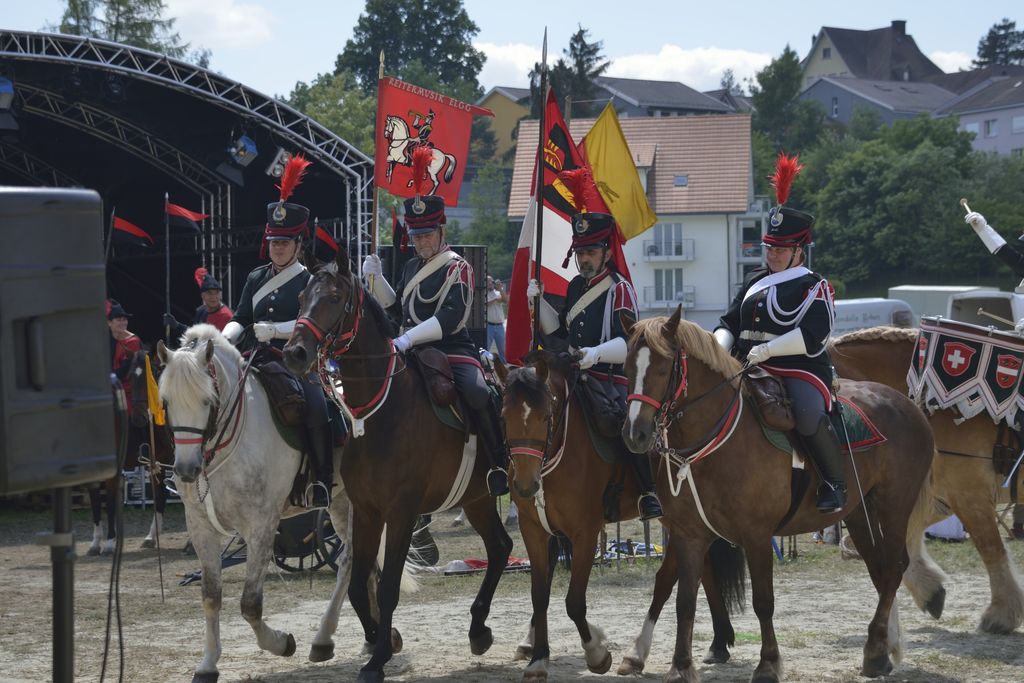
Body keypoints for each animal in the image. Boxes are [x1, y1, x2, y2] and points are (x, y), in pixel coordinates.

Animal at [155, 325, 356, 683]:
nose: (187, 470)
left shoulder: (261, 526)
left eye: (207, 400)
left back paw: (330, 638)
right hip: (340, 503)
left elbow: (250, 604)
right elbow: (211, 596)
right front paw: (208, 664)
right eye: (166, 401)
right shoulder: (200, 527)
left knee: (351, 560)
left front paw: (281, 643)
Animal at [282, 246, 512, 683]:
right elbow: (358, 584)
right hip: (477, 498)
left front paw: (377, 659)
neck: (381, 411)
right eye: (301, 298)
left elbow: (387, 585)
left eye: (334, 298)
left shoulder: (403, 511)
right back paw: (479, 630)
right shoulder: (367, 511)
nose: (295, 353)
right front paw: (379, 640)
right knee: (501, 546)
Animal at [497, 350, 745, 679]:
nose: (526, 485)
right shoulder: (534, 530)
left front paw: (597, 652)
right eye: (504, 418)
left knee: (666, 580)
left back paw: (638, 654)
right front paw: (538, 658)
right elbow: (540, 595)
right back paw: (718, 642)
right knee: (701, 568)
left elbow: (574, 602)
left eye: (546, 416)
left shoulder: (585, 533)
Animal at [622, 311, 937, 683]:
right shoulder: (690, 535)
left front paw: (768, 664)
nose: (635, 434)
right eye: (626, 366)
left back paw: (875, 650)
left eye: (662, 367)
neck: (715, 442)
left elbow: (763, 601)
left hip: (894, 505)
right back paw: (885, 649)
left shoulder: (756, 536)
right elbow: (683, 600)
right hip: (860, 512)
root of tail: (909, 406)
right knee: (880, 568)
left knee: (893, 568)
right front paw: (680, 666)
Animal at [831, 327, 1024, 634]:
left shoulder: (969, 494)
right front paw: (929, 591)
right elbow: (904, 541)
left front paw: (1003, 613)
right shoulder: (939, 496)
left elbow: (991, 549)